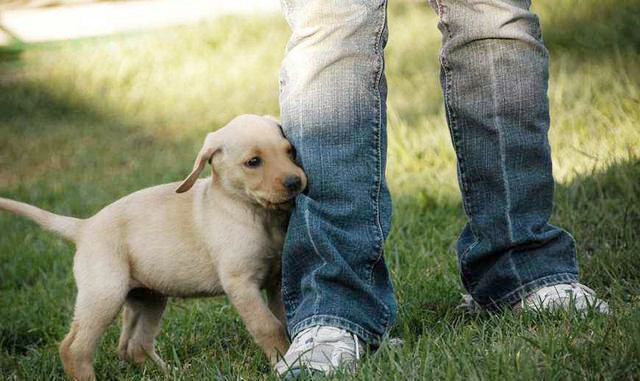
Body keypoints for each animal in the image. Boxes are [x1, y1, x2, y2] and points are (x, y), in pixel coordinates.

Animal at [0, 114, 308, 378]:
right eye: (253, 162)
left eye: (290, 150)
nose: (295, 182)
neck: (254, 212)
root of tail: (85, 226)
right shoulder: (240, 283)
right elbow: (268, 325)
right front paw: (284, 362)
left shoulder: (277, 279)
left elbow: (284, 319)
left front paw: (291, 352)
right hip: (105, 293)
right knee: (74, 347)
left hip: (148, 296)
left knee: (133, 346)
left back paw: (170, 372)